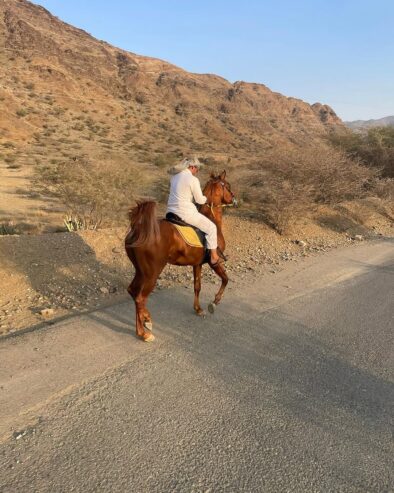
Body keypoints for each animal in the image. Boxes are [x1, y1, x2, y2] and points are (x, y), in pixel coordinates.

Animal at [124, 168, 235, 338]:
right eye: (227, 185)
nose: (234, 199)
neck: (211, 218)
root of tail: (139, 229)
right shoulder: (215, 263)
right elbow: (225, 279)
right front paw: (214, 303)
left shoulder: (197, 264)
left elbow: (197, 286)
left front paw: (198, 309)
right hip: (152, 273)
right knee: (140, 298)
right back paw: (145, 329)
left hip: (140, 271)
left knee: (133, 291)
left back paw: (143, 325)